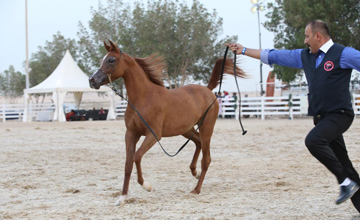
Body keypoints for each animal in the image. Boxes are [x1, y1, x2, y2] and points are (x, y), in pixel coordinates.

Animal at [88, 40, 246, 206]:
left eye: (111, 60)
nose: (92, 80)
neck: (143, 98)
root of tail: (208, 91)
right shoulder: (131, 134)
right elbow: (128, 164)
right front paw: (122, 197)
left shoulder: (153, 135)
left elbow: (137, 157)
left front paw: (147, 186)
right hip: (186, 129)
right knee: (198, 143)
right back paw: (194, 172)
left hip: (206, 129)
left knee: (206, 159)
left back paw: (196, 189)